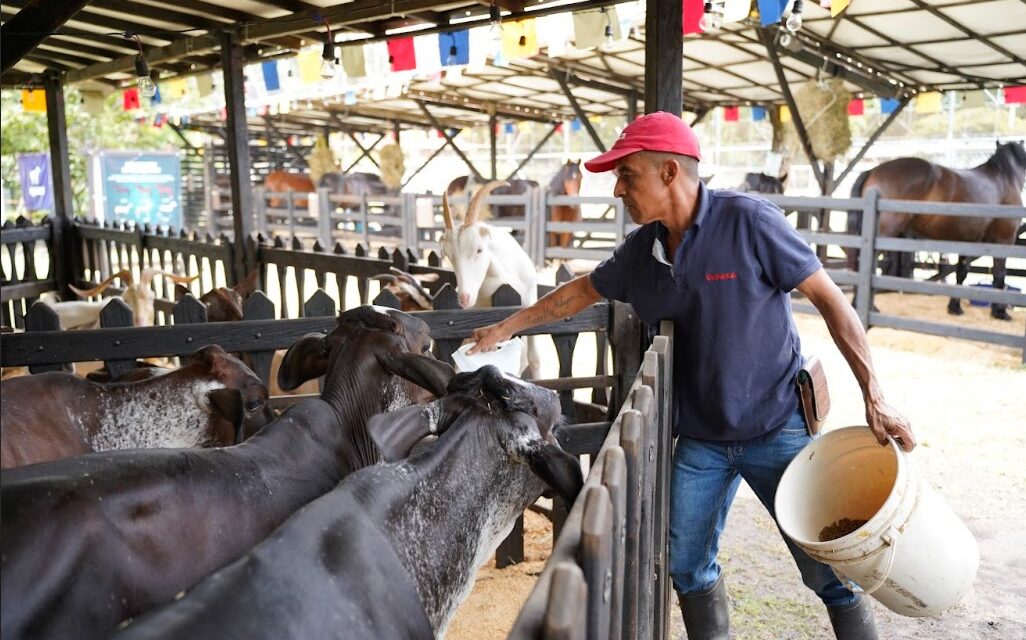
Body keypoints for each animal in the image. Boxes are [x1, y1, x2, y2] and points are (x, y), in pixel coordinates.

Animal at [845, 141, 1021, 317]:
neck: (1004, 180)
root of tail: (872, 171)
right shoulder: (1003, 240)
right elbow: (999, 275)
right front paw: (1000, 312)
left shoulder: (968, 242)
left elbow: (961, 273)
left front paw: (955, 307)